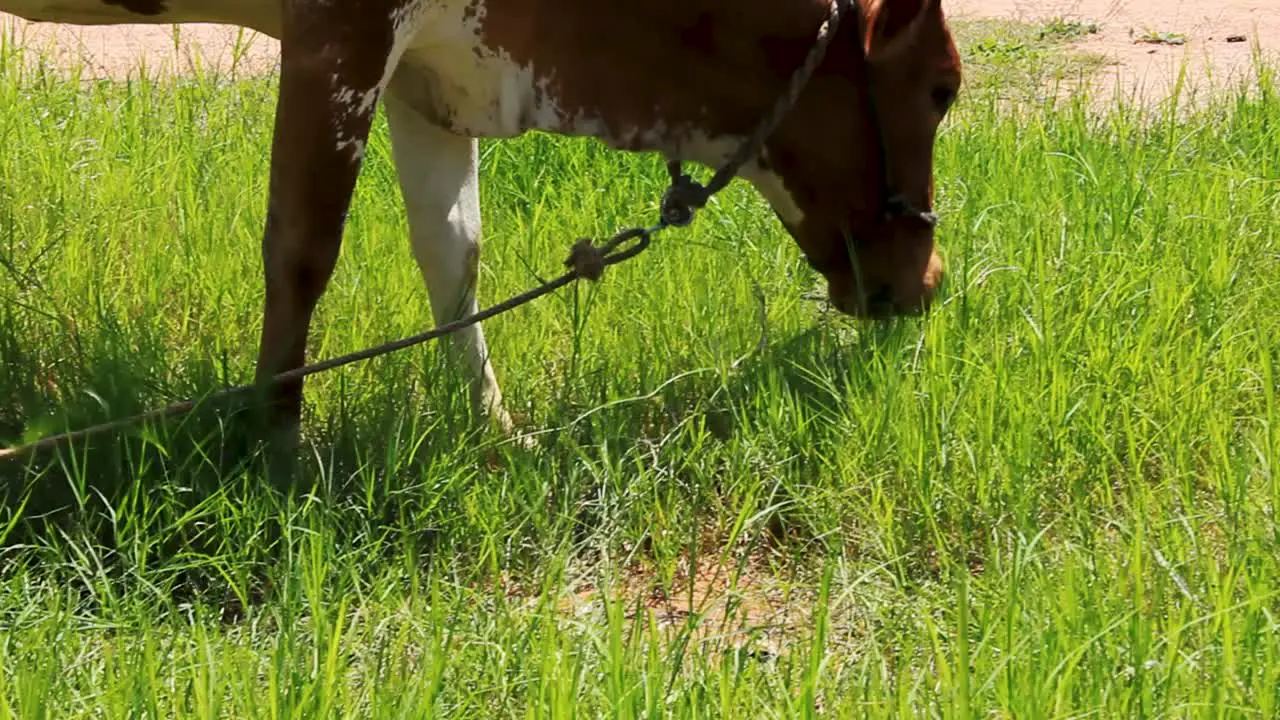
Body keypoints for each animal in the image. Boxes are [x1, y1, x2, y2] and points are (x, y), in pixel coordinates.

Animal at [2, 0, 962, 448]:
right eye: (944, 89)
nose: (931, 278)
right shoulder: (340, 32)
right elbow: (304, 245)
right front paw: (277, 437)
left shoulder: (431, 70)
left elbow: (453, 253)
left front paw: (494, 424)